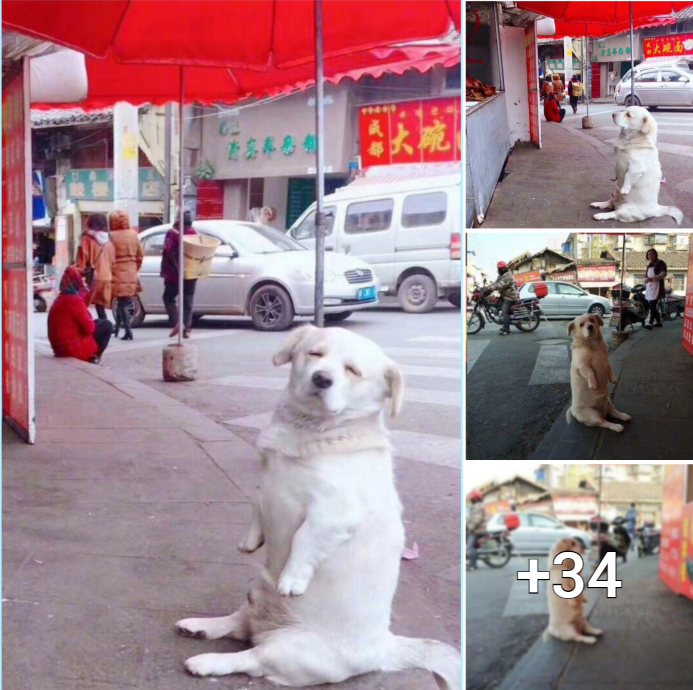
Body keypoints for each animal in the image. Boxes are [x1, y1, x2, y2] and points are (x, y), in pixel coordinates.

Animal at [174, 326, 460, 684]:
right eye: (315, 354)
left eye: (352, 370)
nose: (322, 378)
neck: (310, 431)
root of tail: (385, 648)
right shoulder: (267, 482)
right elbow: (257, 503)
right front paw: (251, 540)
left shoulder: (334, 513)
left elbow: (304, 539)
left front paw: (292, 578)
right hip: (255, 593)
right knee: (239, 623)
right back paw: (199, 626)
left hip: (289, 649)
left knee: (249, 656)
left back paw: (207, 661)